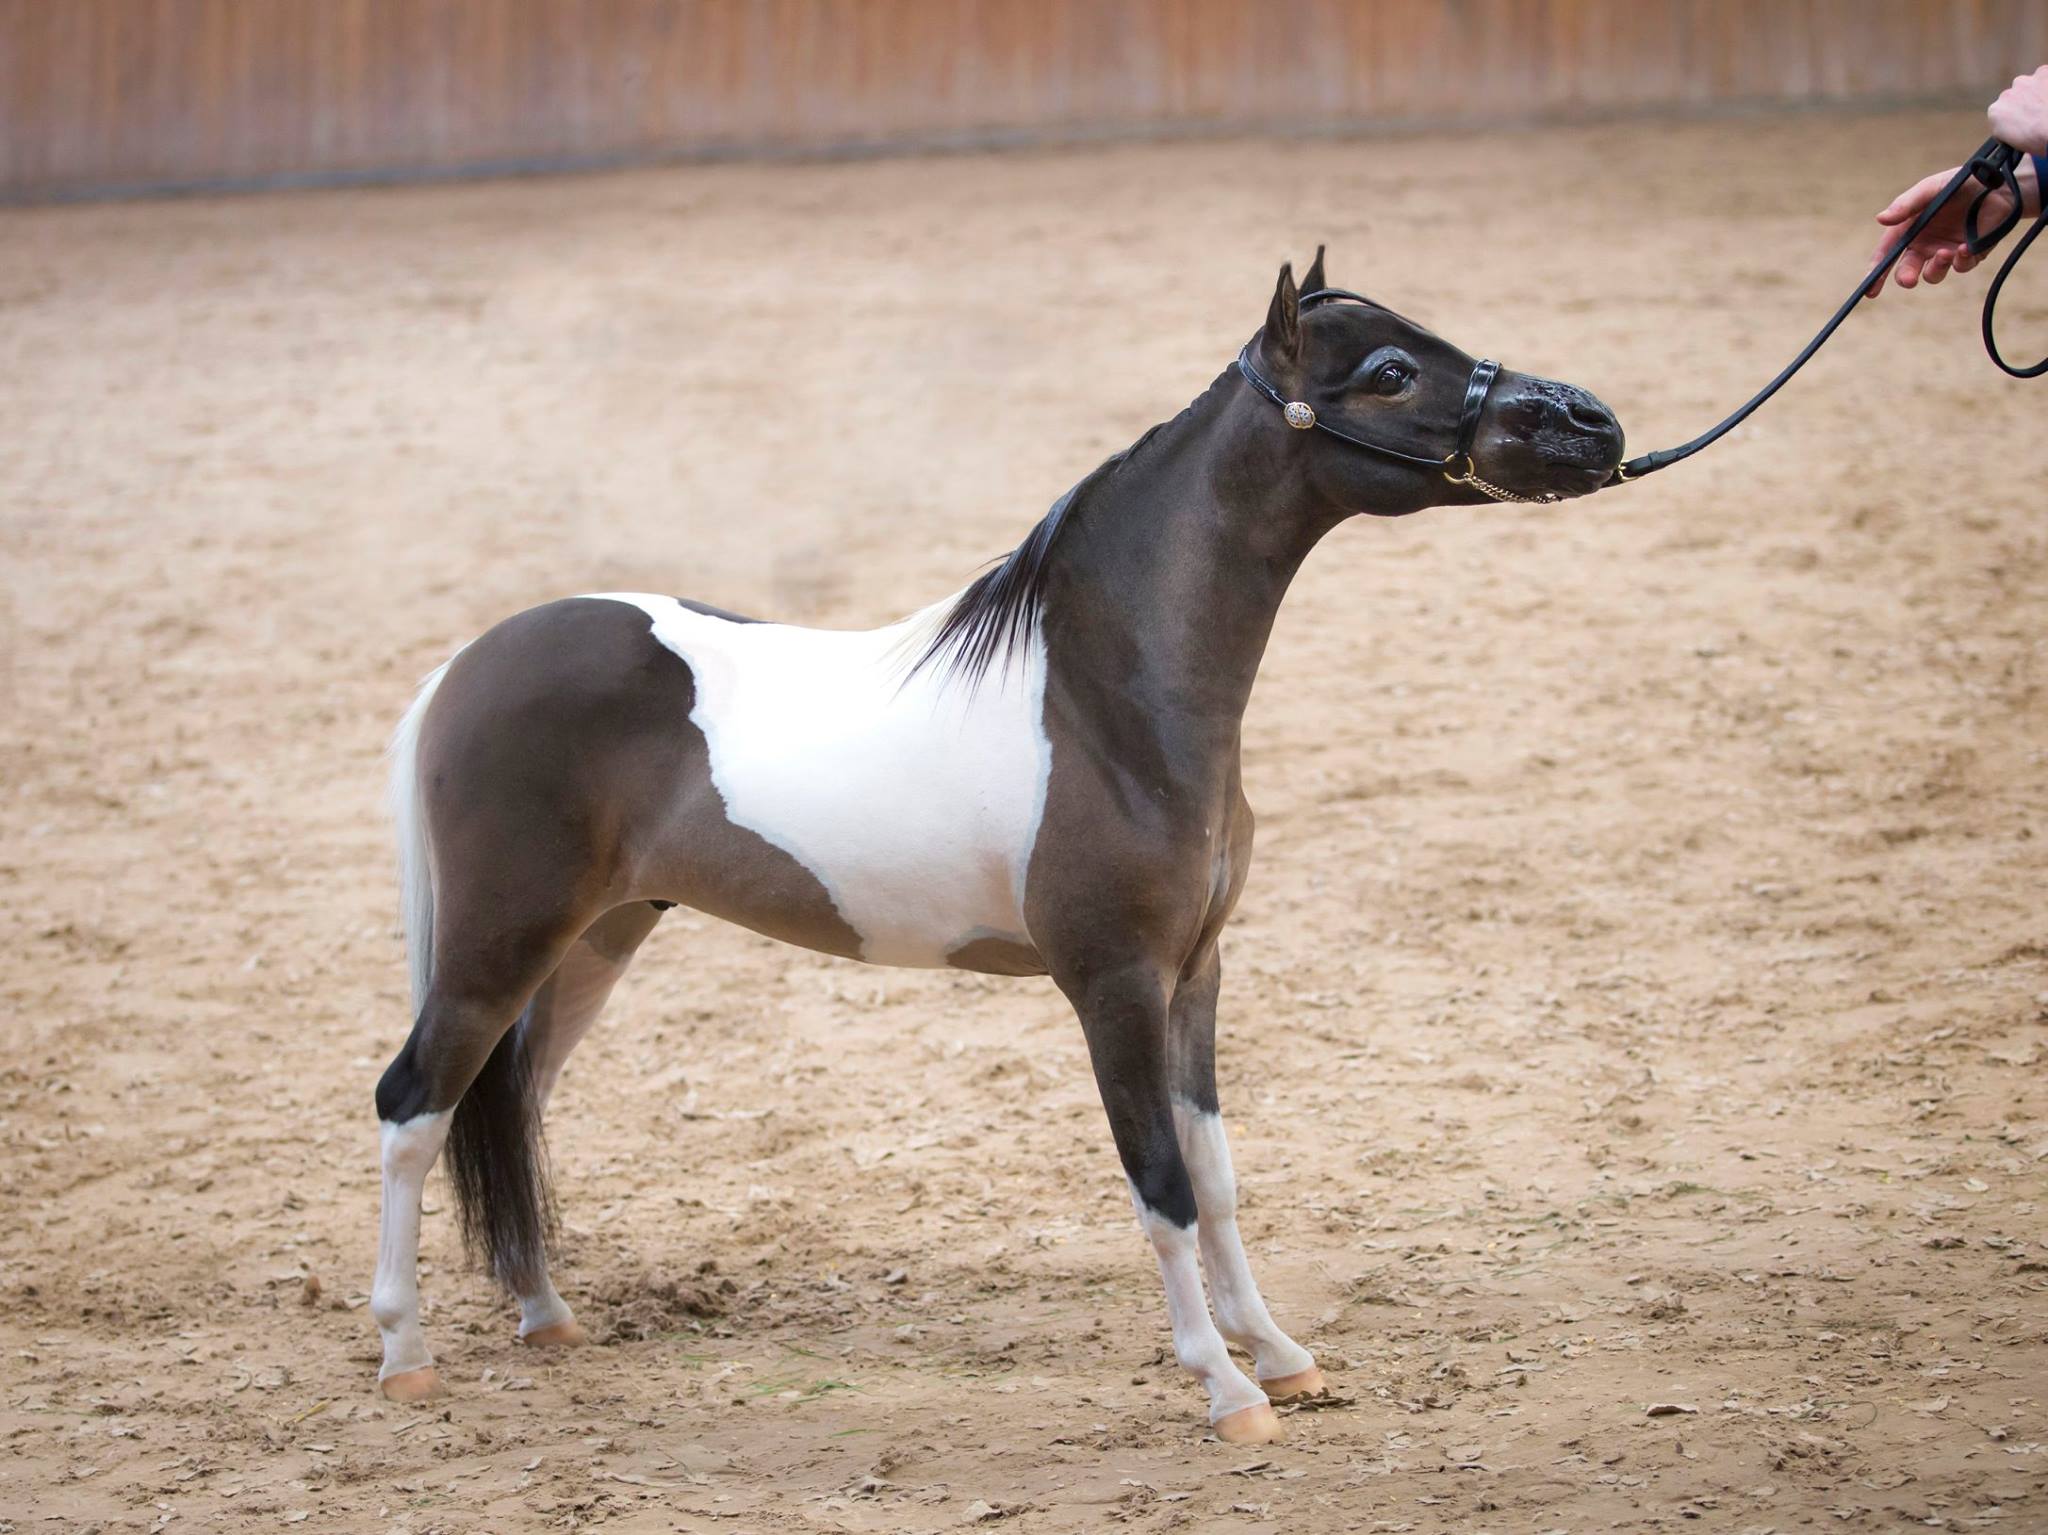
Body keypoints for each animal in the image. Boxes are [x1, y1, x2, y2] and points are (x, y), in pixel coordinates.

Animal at [370, 250, 1624, 1444]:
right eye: (1390, 372)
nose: (1589, 423)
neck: (1100, 699)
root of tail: (464, 669)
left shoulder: (1195, 975)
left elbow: (1215, 1177)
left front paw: (1278, 1352)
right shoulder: (1113, 984)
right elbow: (1160, 1184)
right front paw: (1222, 1386)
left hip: (595, 938)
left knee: (509, 1100)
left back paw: (545, 1315)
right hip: (501, 940)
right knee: (413, 1104)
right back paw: (404, 1354)